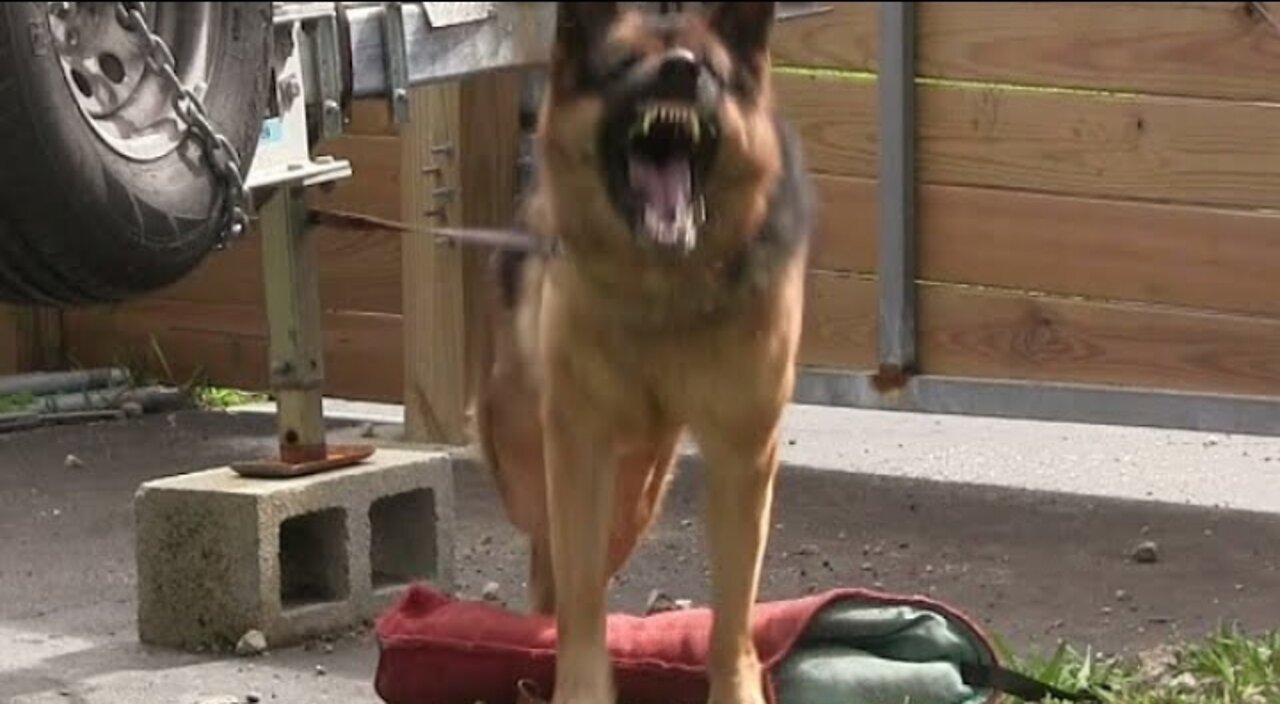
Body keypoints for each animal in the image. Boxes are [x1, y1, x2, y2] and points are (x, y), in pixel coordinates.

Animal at [476, 2, 814, 701]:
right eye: (625, 64)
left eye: (708, 69)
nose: (680, 72)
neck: (664, 291)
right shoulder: (579, 447)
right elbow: (580, 604)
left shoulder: (743, 455)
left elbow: (733, 613)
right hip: (542, 469)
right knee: (552, 564)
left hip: (637, 490)